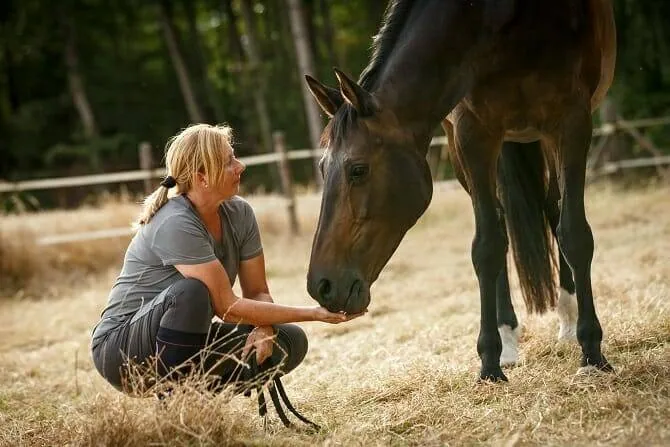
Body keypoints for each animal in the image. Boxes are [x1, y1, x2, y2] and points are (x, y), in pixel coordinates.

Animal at [303, 0, 616, 382]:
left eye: (358, 170)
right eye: (322, 169)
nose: (321, 285)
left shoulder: (573, 119)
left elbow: (574, 234)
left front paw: (592, 351)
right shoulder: (471, 133)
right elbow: (487, 247)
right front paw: (490, 363)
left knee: (553, 210)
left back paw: (568, 322)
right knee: (501, 225)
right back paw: (508, 337)